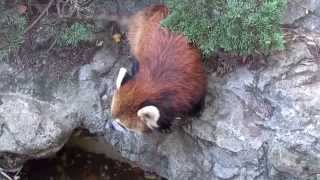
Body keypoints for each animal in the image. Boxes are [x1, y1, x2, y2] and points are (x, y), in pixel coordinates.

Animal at [111, 4, 208, 134]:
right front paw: (165, 126)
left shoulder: (195, 79)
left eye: (123, 125)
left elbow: (199, 94)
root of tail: (159, 7)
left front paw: (197, 110)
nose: (113, 126)